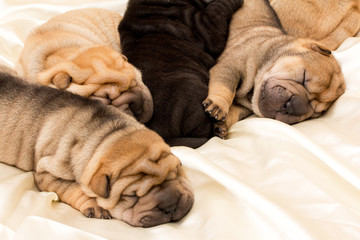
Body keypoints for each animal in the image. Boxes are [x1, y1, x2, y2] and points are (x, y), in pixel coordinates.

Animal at [0, 66, 194, 228]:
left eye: (175, 173)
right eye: (132, 196)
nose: (170, 204)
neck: (110, 134)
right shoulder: (46, 174)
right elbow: (72, 189)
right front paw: (95, 206)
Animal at [202, 0, 346, 137]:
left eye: (315, 111)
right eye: (304, 77)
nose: (293, 107)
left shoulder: (243, 107)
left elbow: (235, 112)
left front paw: (223, 124)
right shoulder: (230, 66)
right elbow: (226, 87)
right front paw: (218, 105)